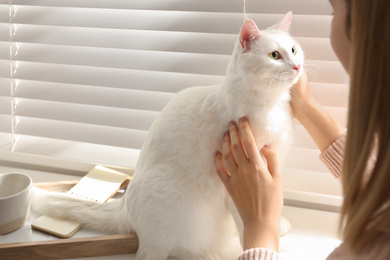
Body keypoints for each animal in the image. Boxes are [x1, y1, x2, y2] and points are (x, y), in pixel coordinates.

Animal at [32, 12, 304, 260]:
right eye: (274, 55)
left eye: (293, 49)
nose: (297, 65)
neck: (271, 106)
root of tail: (124, 207)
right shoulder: (236, 180)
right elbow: (245, 219)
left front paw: (280, 227)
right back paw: (207, 255)